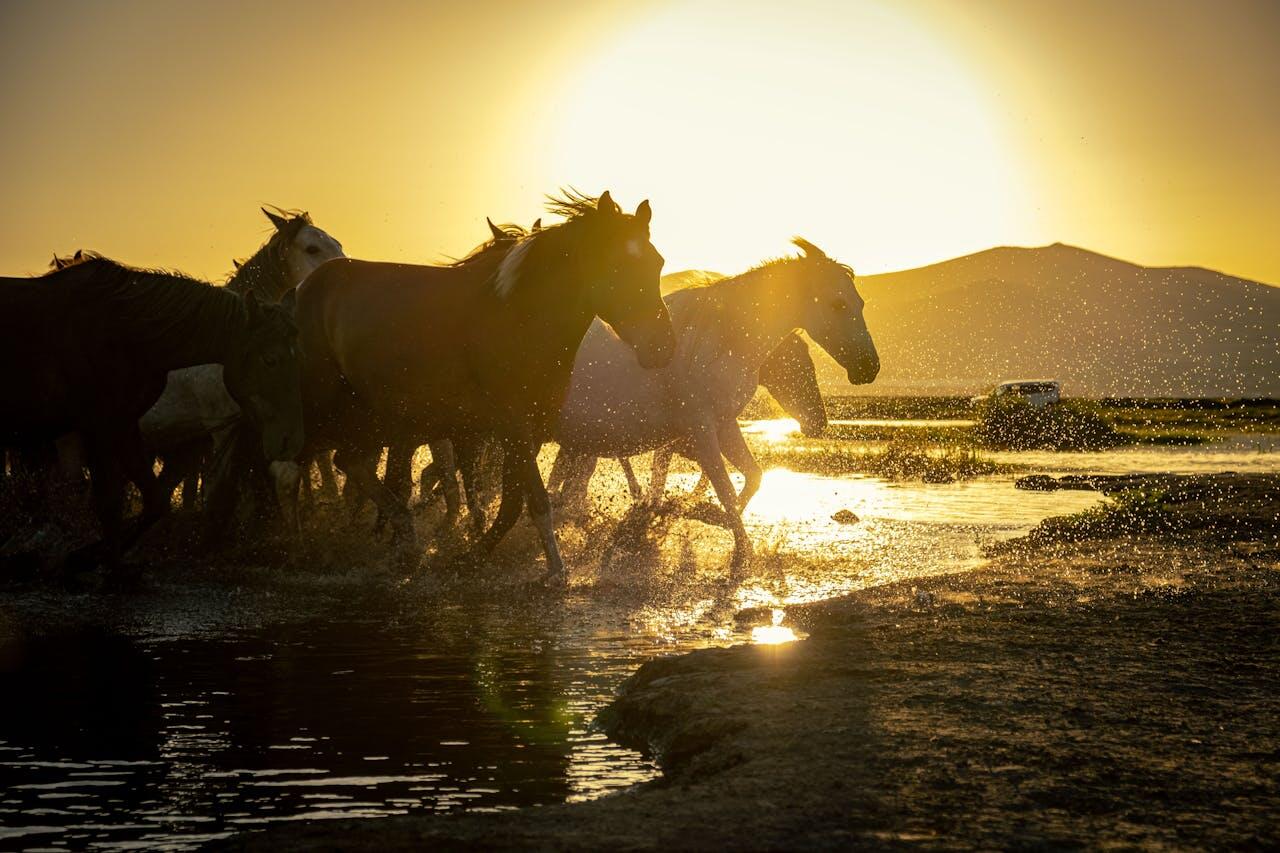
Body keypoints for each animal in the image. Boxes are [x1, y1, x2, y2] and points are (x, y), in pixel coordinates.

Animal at [0, 255, 304, 570]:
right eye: (270, 360)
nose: (291, 441)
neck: (123, 330)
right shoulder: (97, 426)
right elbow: (109, 502)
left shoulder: (123, 424)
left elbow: (152, 501)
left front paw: (92, 556)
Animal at [286, 191, 674, 578]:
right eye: (616, 265)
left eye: (657, 262)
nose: (661, 346)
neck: (518, 316)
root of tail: (306, 287)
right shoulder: (510, 425)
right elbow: (534, 498)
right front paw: (556, 571)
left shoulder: (529, 429)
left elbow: (511, 501)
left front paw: (472, 554)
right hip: (324, 408)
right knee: (294, 467)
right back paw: (300, 545)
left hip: (369, 416)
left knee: (348, 462)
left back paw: (403, 536)